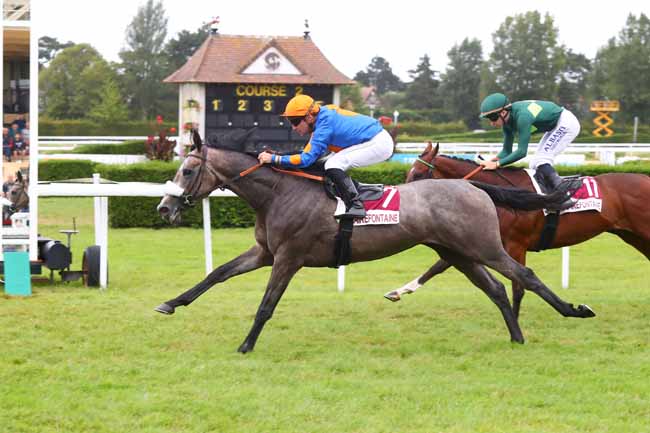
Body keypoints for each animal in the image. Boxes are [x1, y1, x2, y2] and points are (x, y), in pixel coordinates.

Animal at [156, 130, 592, 352]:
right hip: (458, 252)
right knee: (498, 289)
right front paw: (170, 303)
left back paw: (574, 311)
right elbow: (216, 274)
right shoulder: (265, 252)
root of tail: (475, 187)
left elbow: (266, 305)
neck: (279, 193)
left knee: (524, 276)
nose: (163, 207)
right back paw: (516, 336)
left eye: (188, 170)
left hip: (484, 246)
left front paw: (246, 345)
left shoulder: (288, 257)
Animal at [384, 143, 648, 316]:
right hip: (633, 236)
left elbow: (519, 286)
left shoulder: (514, 245)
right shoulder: (480, 243)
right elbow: (438, 266)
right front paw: (398, 291)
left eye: (418, 173)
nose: (404, 200)